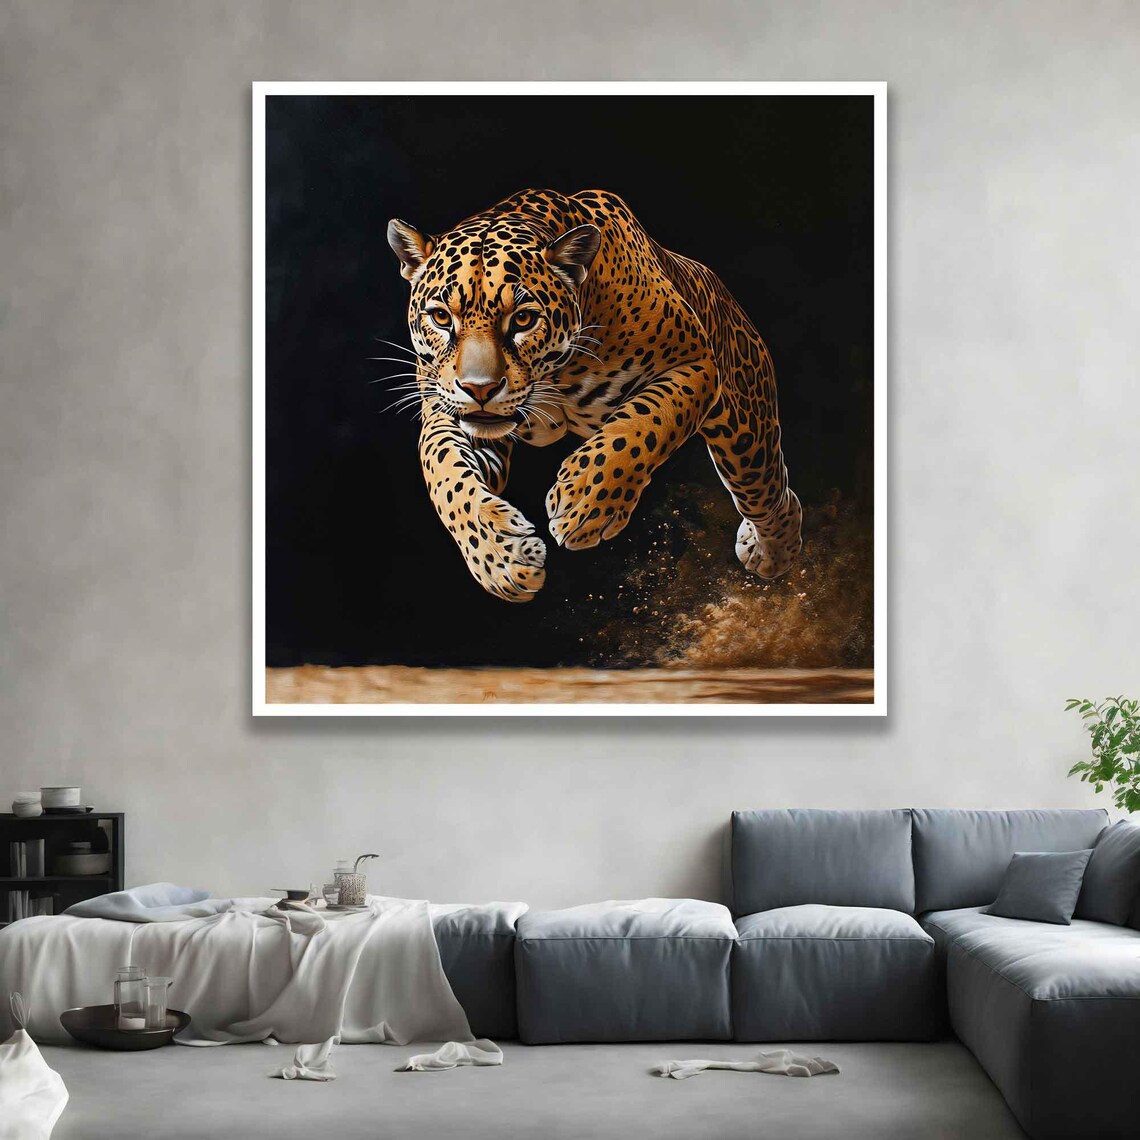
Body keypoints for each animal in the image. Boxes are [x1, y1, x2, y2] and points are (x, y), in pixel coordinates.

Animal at [385, 189, 802, 604]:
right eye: (441, 317)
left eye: (523, 319)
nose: (479, 389)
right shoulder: (447, 415)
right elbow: (445, 474)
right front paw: (501, 558)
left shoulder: (694, 363)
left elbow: (640, 424)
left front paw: (584, 504)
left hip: (745, 431)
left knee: (765, 491)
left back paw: (774, 552)